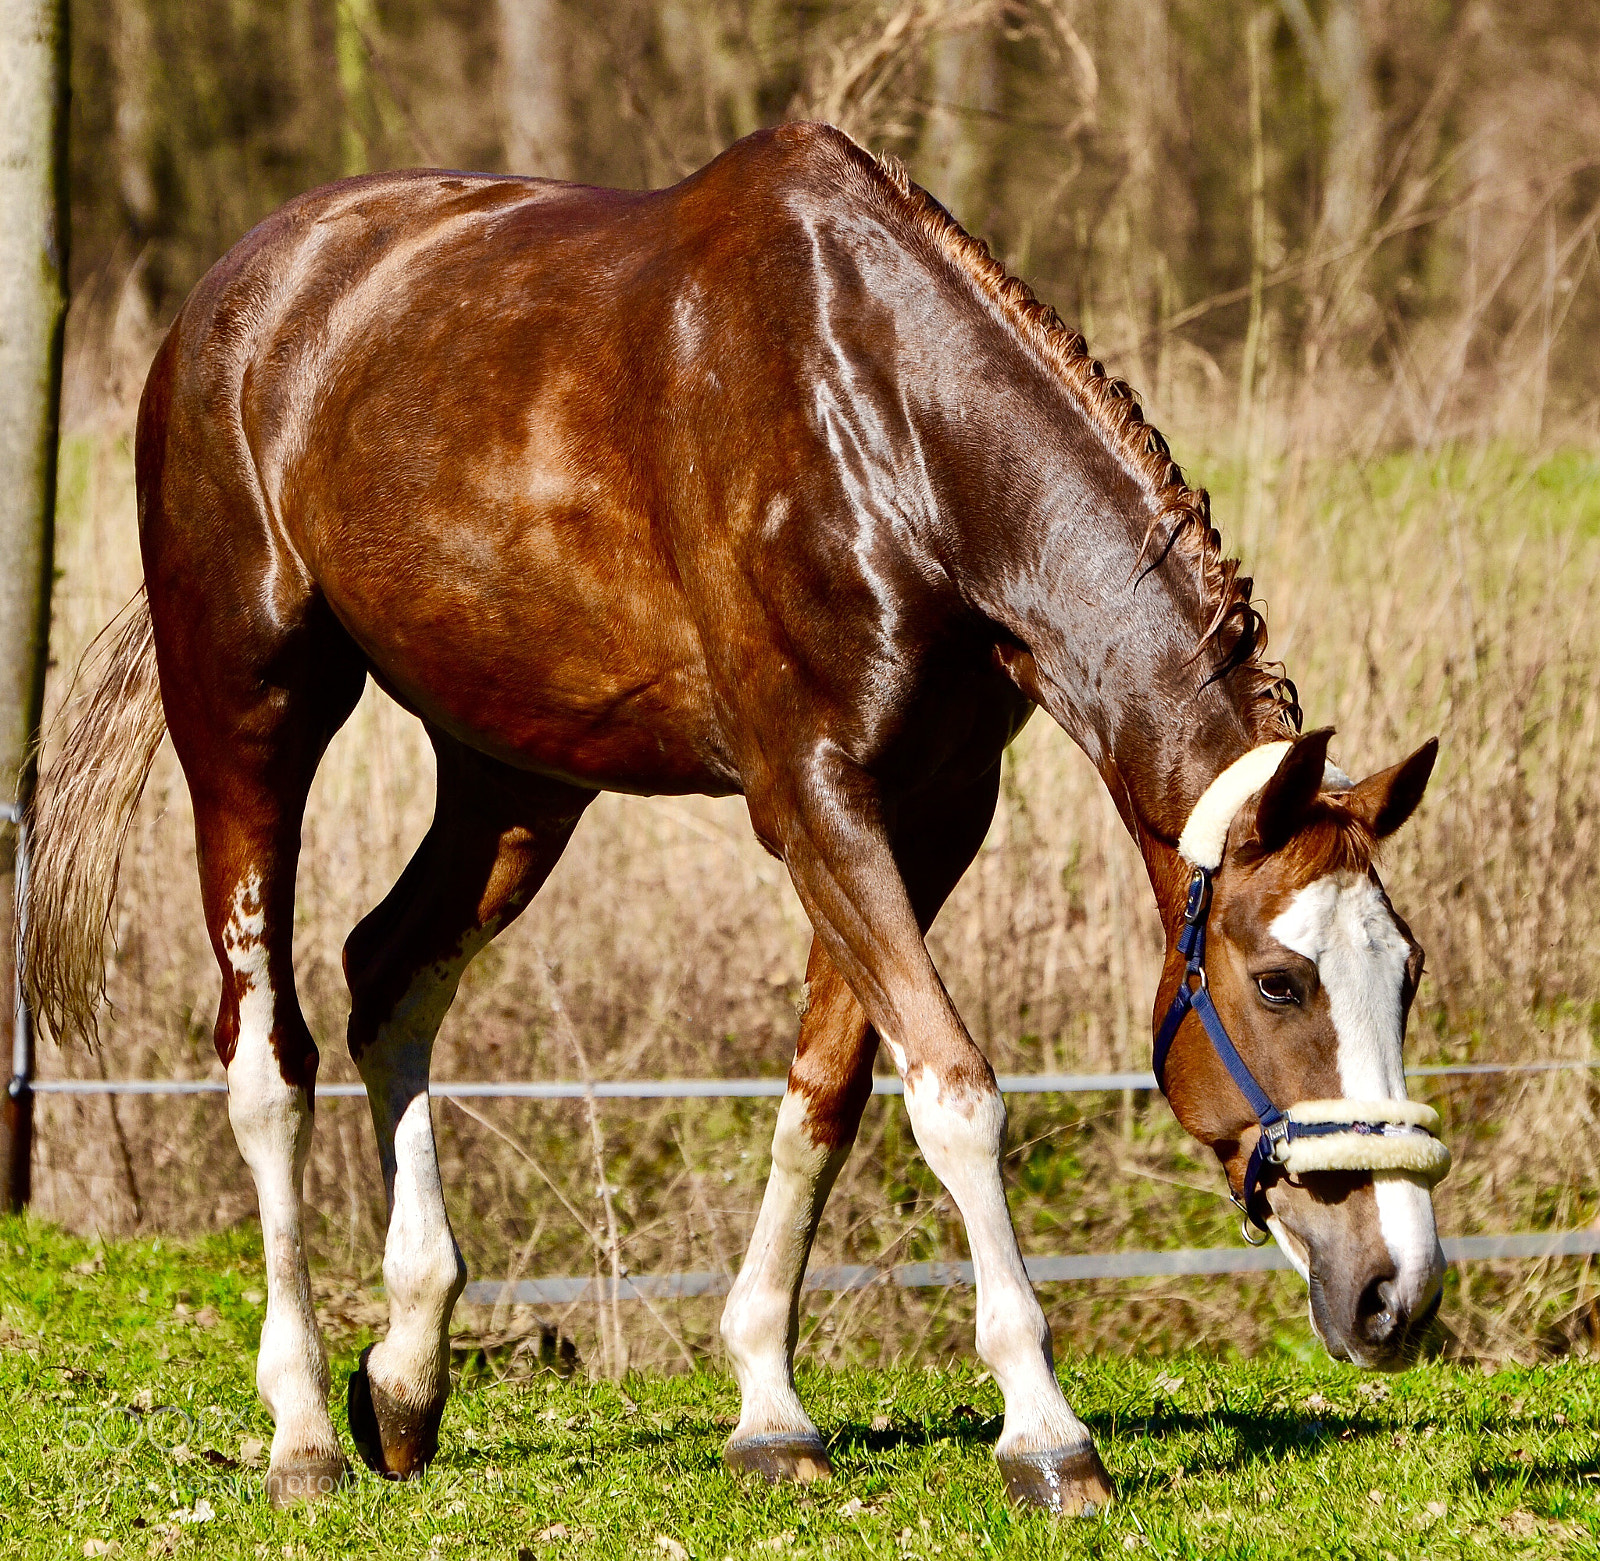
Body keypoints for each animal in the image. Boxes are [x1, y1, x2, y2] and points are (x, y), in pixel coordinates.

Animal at [22, 121, 1450, 1515]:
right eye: (1279, 982)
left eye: (1407, 975)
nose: (1397, 1292)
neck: (888, 429)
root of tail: (239, 291)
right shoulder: (811, 796)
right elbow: (954, 1092)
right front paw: (1046, 1433)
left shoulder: (930, 811)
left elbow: (830, 1091)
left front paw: (769, 1407)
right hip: (250, 715)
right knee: (268, 1054)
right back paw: (305, 1429)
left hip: (514, 777)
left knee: (388, 973)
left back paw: (411, 1369)